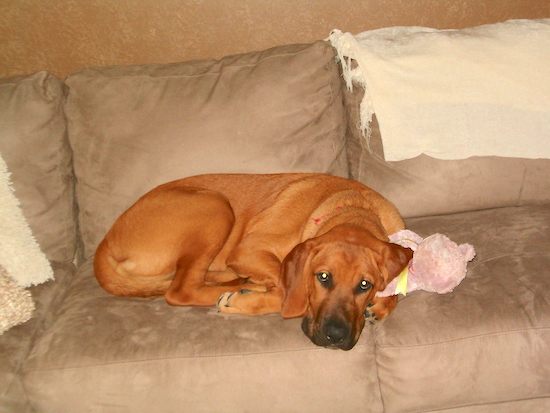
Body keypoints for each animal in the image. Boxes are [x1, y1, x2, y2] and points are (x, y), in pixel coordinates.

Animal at [96, 172, 414, 350]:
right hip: (214, 206)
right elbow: (288, 291)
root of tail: (104, 243)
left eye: (365, 285)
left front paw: (382, 305)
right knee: (181, 289)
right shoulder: (249, 249)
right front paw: (250, 299)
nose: (335, 337)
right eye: (323, 277)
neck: (352, 207)